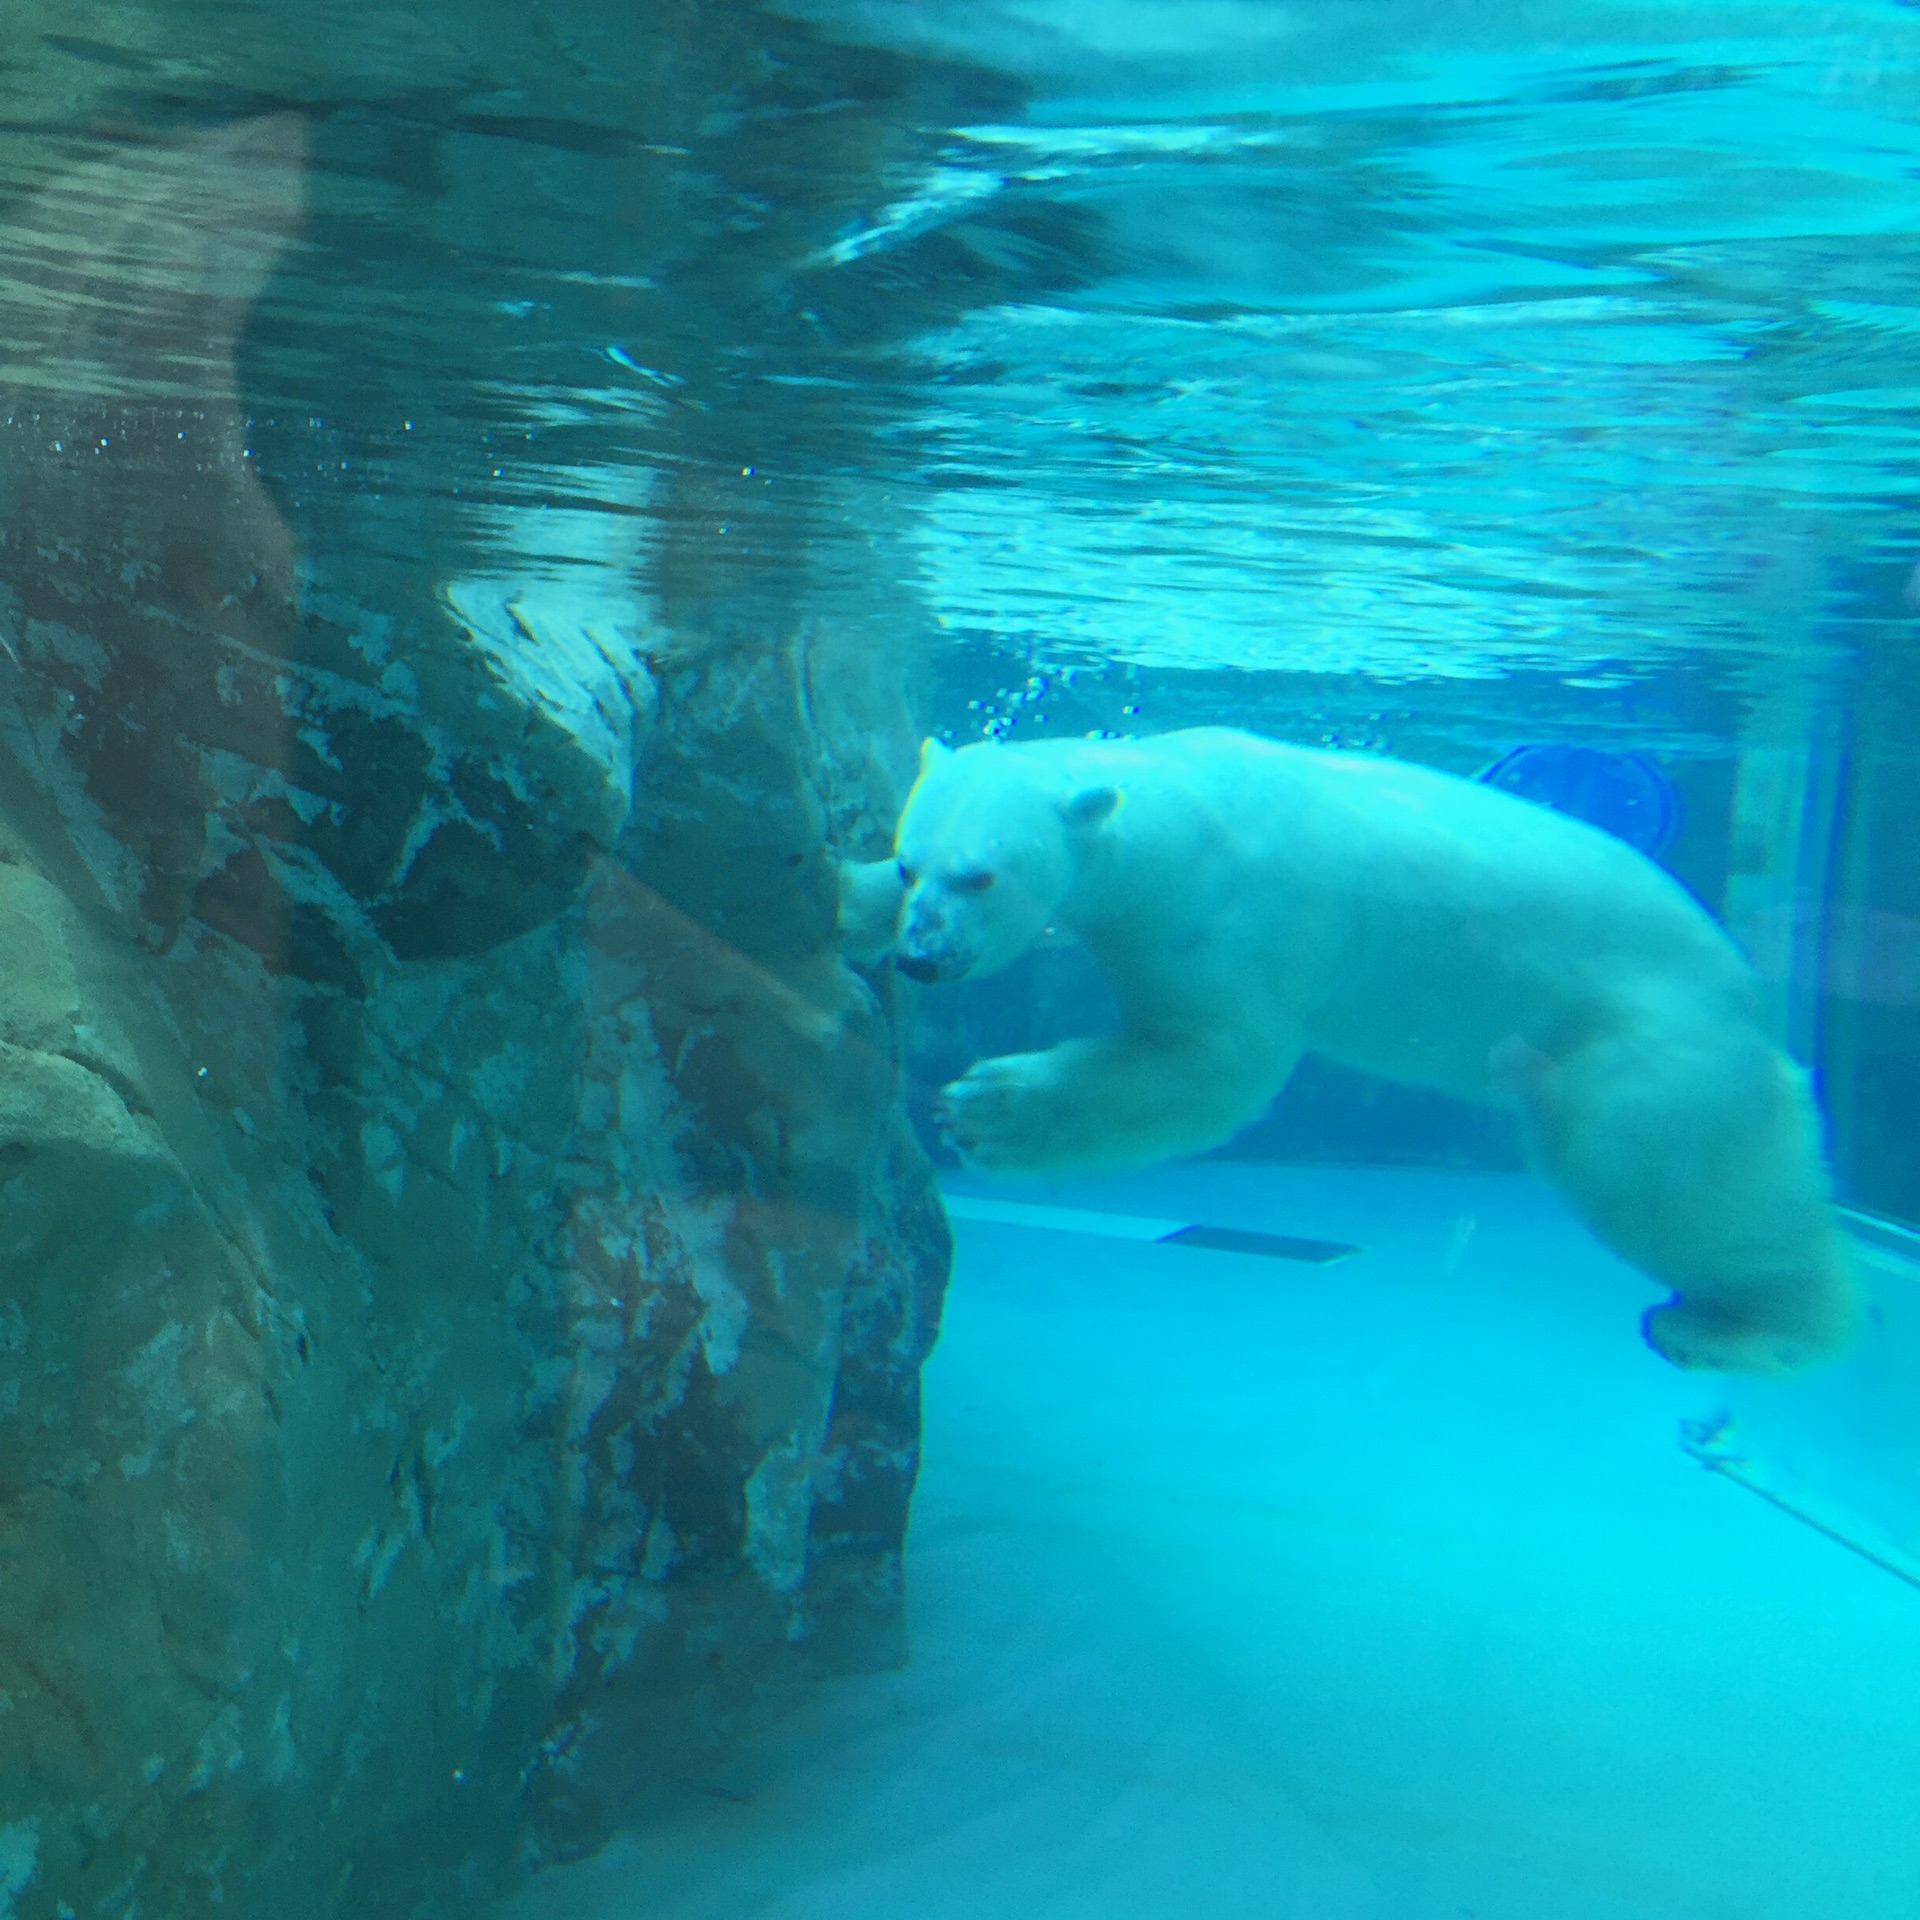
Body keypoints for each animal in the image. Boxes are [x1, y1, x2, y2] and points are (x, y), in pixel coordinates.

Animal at [879, 725, 1858, 1374]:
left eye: (981, 875)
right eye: (907, 864)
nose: (922, 957)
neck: (1179, 810)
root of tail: (1747, 994)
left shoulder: (1227, 920)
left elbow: (1215, 1059)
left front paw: (987, 1110)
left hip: (1639, 1035)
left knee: (1660, 1169)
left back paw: (1744, 1324)